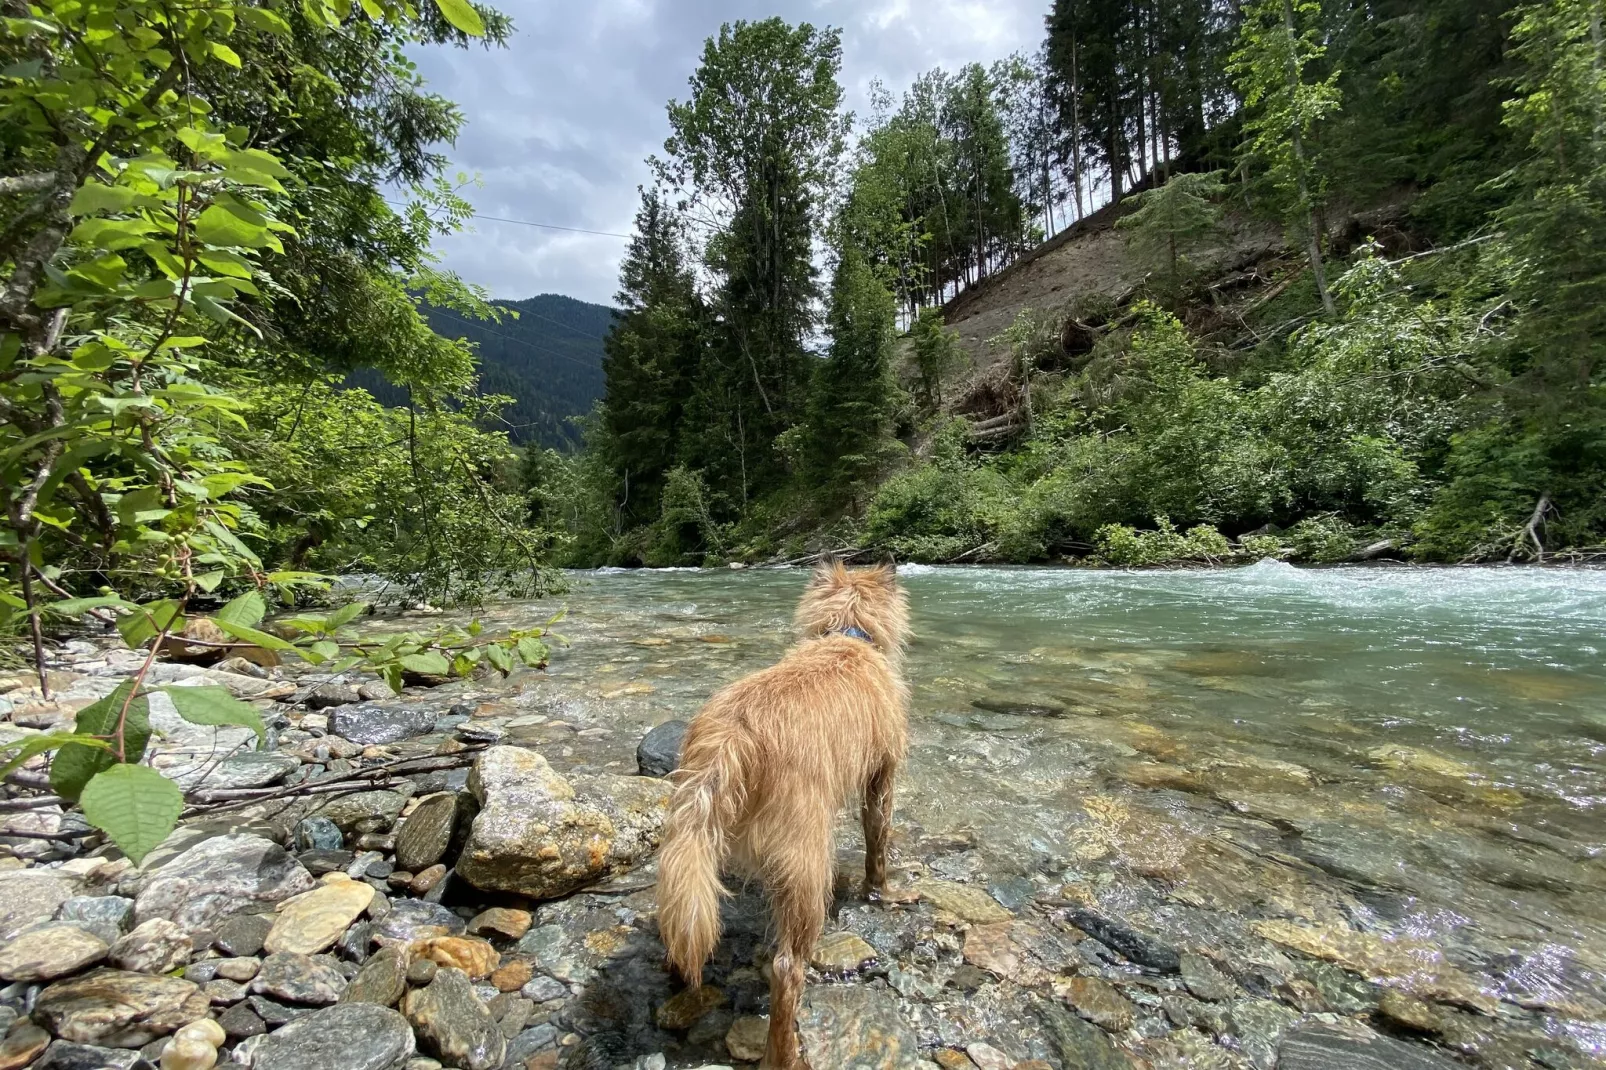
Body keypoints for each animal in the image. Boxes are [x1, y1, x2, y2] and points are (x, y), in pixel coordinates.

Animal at [655, 562, 912, 1060]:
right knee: (786, 968)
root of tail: (732, 737)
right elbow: (877, 845)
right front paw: (883, 892)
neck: (847, 635)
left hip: (694, 840)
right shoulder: (881, 777)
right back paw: (786, 1053)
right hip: (807, 864)